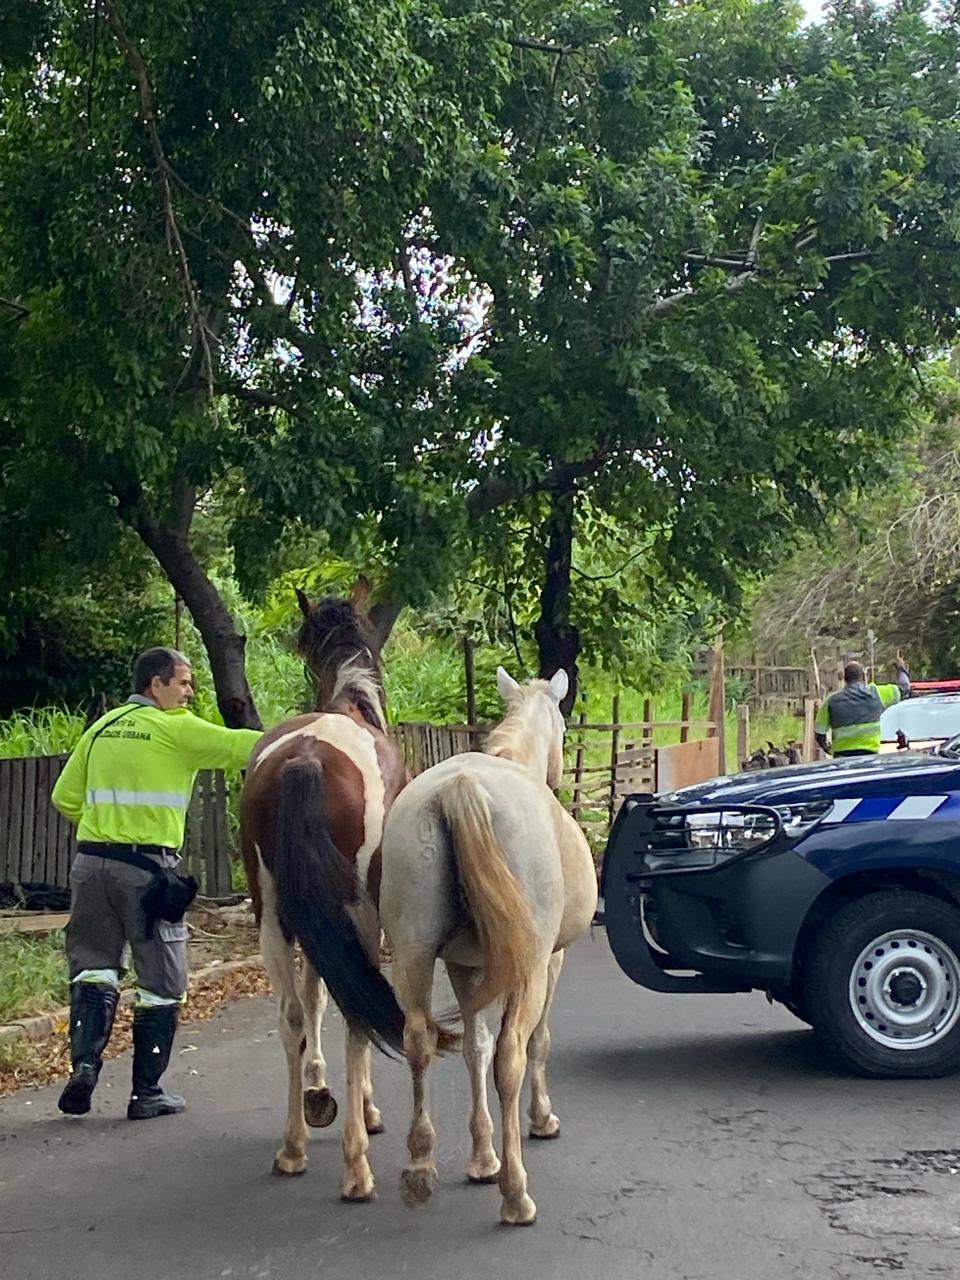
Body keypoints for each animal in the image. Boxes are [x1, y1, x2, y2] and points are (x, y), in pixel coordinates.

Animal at [240, 581, 409, 1198]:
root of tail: (307, 758)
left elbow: (312, 997)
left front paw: (318, 1093)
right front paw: (362, 1108)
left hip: (269, 913)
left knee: (291, 1015)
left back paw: (293, 1148)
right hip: (360, 912)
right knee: (356, 1016)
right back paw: (356, 1165)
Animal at [378, 665, 599, 1223]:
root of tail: (462, 786)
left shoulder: (464, 966)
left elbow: (473, 1048)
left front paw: (481, 1157)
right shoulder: (551, 960)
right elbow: (536, 1043)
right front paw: (540, 1121)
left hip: (413, 956)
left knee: (419, 1041)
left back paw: (421, 1164)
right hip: (530, 969)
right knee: (511, 1056)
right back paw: (516, 1194)